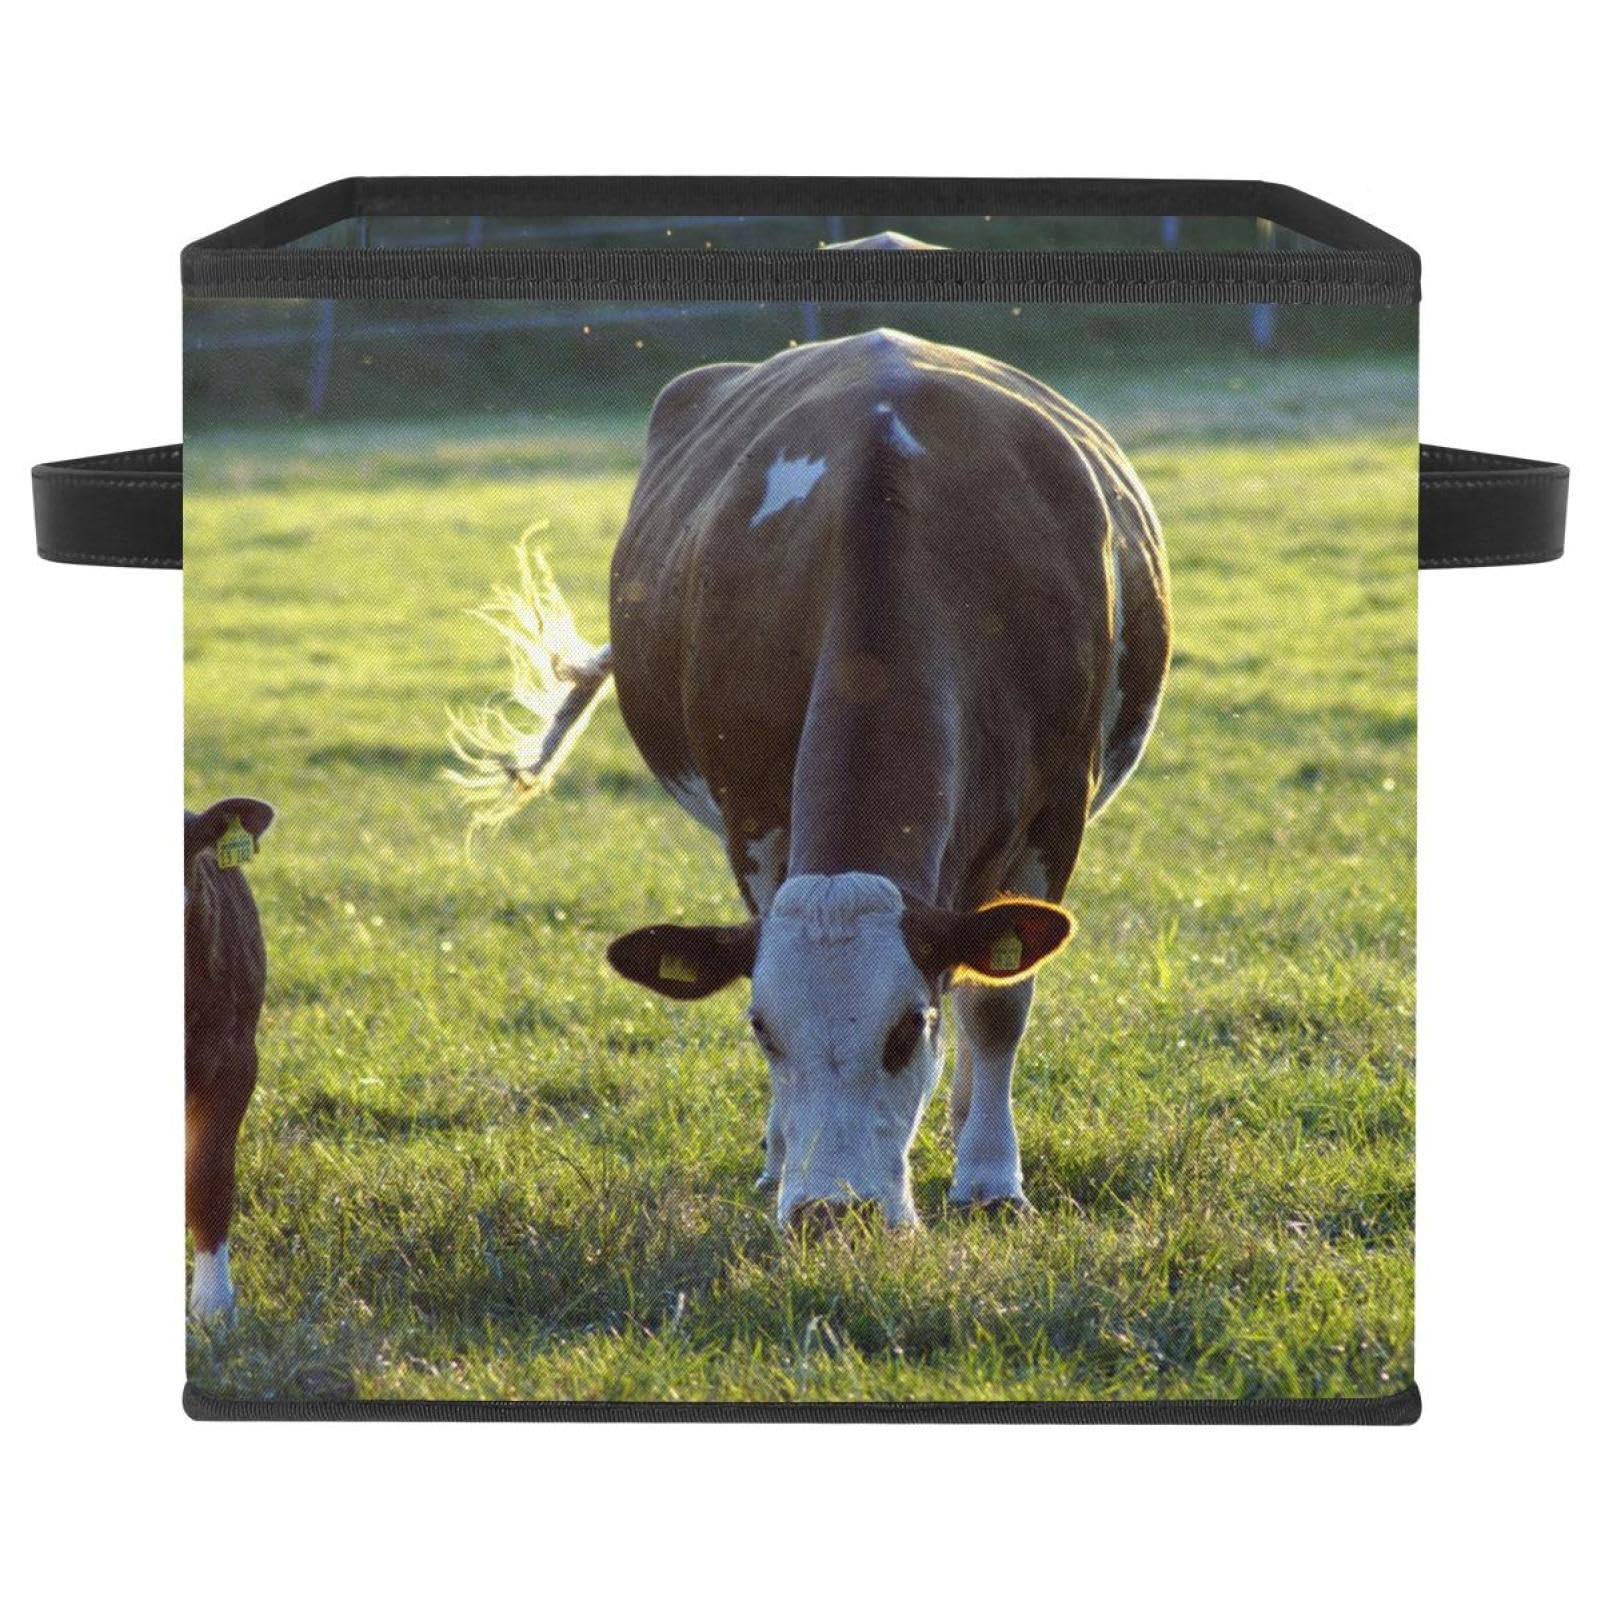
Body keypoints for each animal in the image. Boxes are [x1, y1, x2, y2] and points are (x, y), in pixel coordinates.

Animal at [451, 327, 1169, 1227]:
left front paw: (989, 1176)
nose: (834, 1210)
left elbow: (997, 1003)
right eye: (763, 1028)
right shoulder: (752, 813)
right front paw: (779, 1154)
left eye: (908, 1027)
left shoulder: (1056, 812)